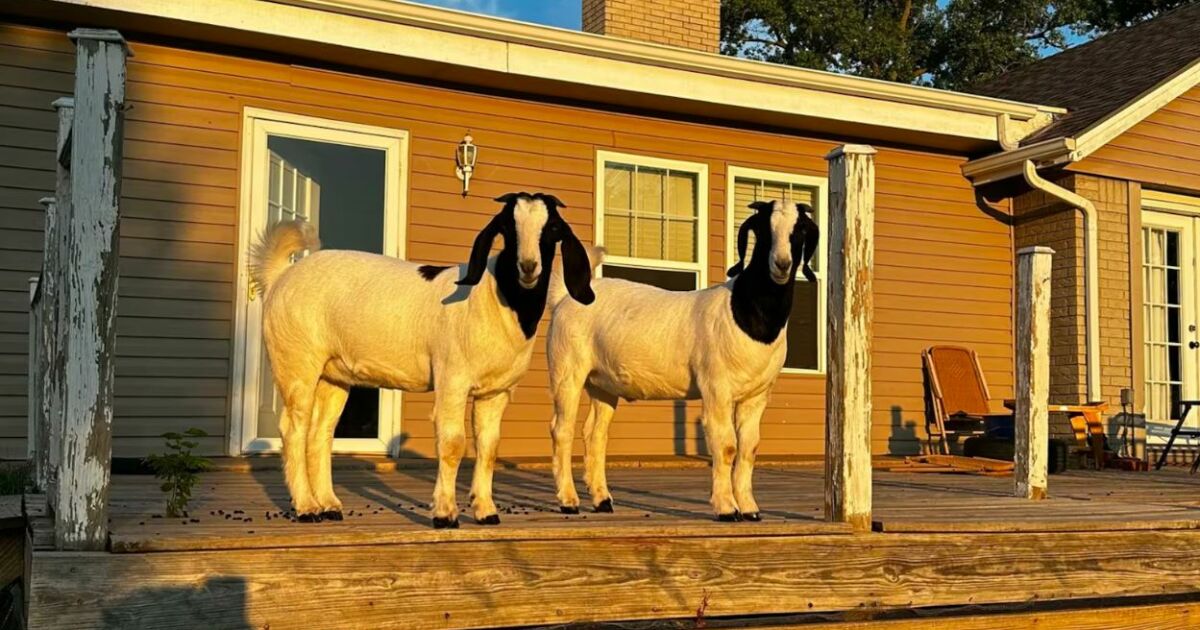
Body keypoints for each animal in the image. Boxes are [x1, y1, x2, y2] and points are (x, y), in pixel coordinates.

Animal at [249, 192, 594, 528]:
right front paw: (445, 514)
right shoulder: (452, 378)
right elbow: (453, 443)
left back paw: (329, 505)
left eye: (552, 229)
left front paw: (486, 511)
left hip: (333, 375)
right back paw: (306, 508)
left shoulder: (496, 392)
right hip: (297, 361)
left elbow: (488, 447)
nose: (528, 266)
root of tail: (280, 277)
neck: (497, 298)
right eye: (508, 228)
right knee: (293, 429)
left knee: (321, 432)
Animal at [545, 200, 818, 520]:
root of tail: (565, 297)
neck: (743, 311)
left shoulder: (757, 395)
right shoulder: (716, 388)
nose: (782, 264)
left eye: (800, 230)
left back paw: (603, 500)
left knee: (595, 435)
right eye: (763, 230)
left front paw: (750, 509)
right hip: (567, 371)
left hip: (602, 384)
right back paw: (569, 500)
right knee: (562, 430)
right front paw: (727, 508)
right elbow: (726, 446)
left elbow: (749, 448)